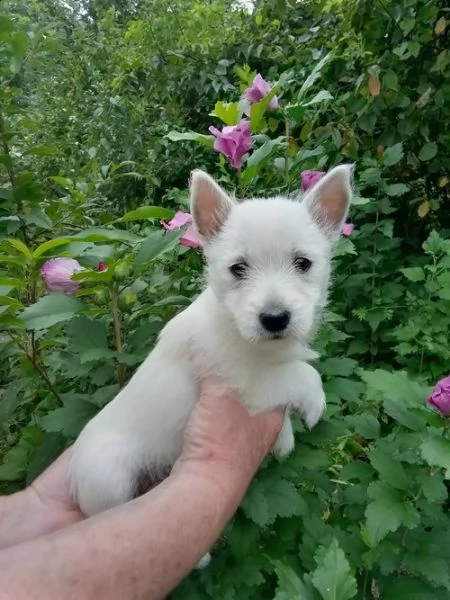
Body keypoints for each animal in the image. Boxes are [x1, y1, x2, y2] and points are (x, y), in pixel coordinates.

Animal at [69, 164, 352, 564]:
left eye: (303, 263)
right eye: (238, 268)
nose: (275, 318)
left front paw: (284, 438)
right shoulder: (244, 385)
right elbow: (300, 374)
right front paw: (313, 405)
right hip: (110, 481)